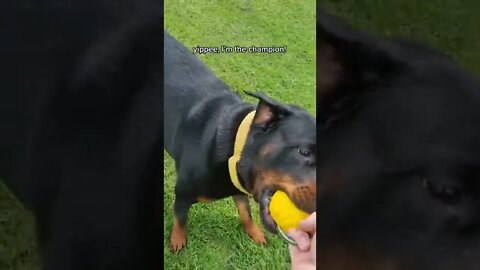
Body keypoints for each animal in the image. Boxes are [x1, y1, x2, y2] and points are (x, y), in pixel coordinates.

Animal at [163, 31, 316, 251]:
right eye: (304, 152)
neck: (233, 148)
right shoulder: (183, 193)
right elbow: (180, 219)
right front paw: (177, 241)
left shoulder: (238, 186)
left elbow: (246, 213)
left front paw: (256, 234)